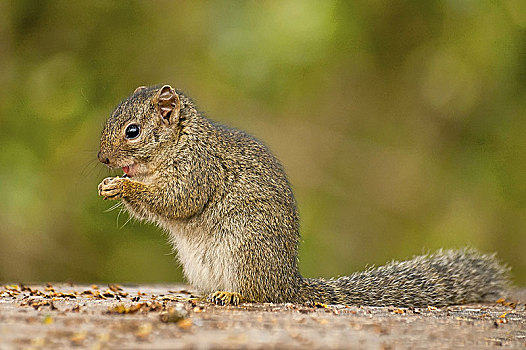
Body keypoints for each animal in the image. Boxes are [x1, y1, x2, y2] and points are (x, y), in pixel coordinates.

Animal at [98, 85, 512, 306]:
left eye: (132, 131)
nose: (103, 159)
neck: (179, 142)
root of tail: (288, 282)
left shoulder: (199, 169)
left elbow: (178, 199)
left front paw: (122, 186)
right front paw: (110, 185)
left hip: (245, 252)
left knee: (259, 294)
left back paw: (233, 296)